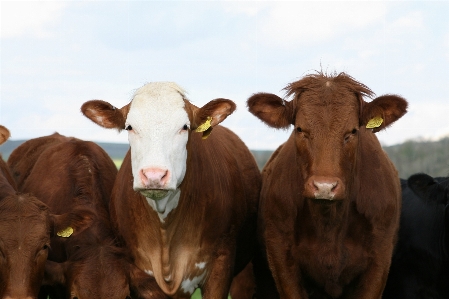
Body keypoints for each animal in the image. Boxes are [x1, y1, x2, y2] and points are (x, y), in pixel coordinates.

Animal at [247, 72, 408, 299]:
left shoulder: (380, 259)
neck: (329, 224)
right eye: (300, 129)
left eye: (353, 131)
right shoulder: (281, 257)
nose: (325, 186)